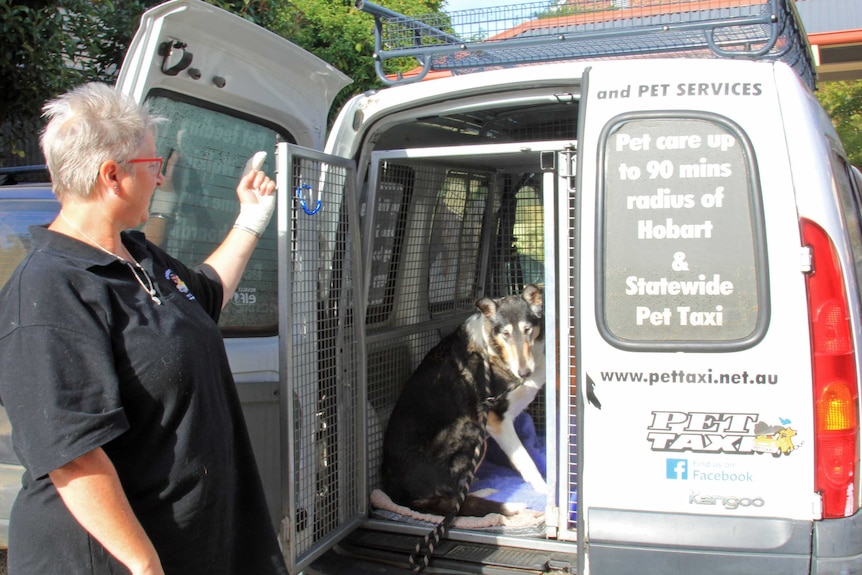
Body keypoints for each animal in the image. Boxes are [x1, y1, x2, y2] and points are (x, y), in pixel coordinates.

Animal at [380, 286, 544, 520]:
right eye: (505, 334)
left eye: (528, 330)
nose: (524, 373)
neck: (493, 349)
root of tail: (394, 491)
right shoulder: (497, 421)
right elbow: (525, 459)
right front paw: (547, 490)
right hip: (472, 429)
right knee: (454, 500)